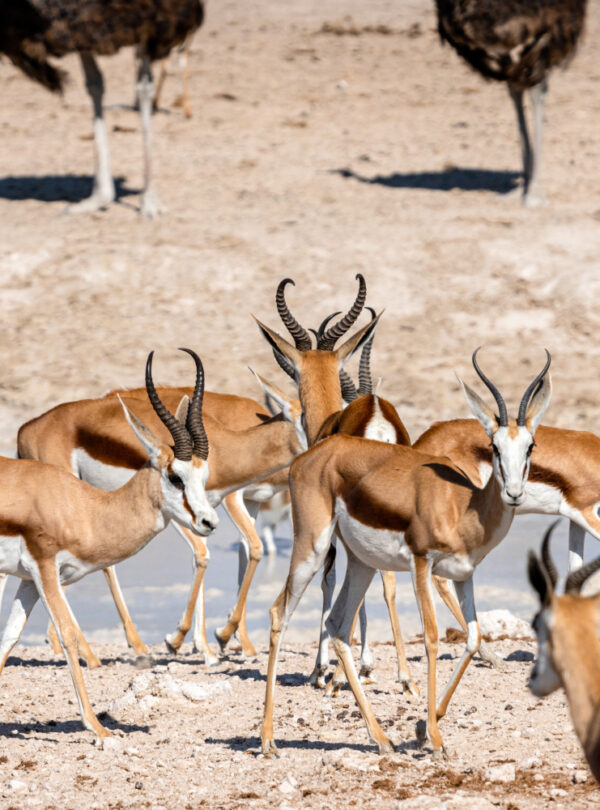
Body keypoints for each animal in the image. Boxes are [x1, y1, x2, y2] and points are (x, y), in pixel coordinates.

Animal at [0, 348, 218, 740]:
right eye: (175, 476)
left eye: (203, 475)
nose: (209, 522)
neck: (83, 507)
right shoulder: (45, 568)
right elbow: (66, 634)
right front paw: (98, 727)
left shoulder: (28, 580)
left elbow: (9, 637)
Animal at [260, 348, 552, 756]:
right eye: (494, 446)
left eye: (530, 446)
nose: (513, 493)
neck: (463, 506)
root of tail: (311, 454)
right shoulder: (421, 564)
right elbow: (430, 637)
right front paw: (436, 737)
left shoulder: (464, 575)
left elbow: (474, 638)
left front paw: (423, 726)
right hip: (312, 548)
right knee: (279, 612)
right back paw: (267, 739)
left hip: (361, 564)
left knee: (338, 625)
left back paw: (381, 739)